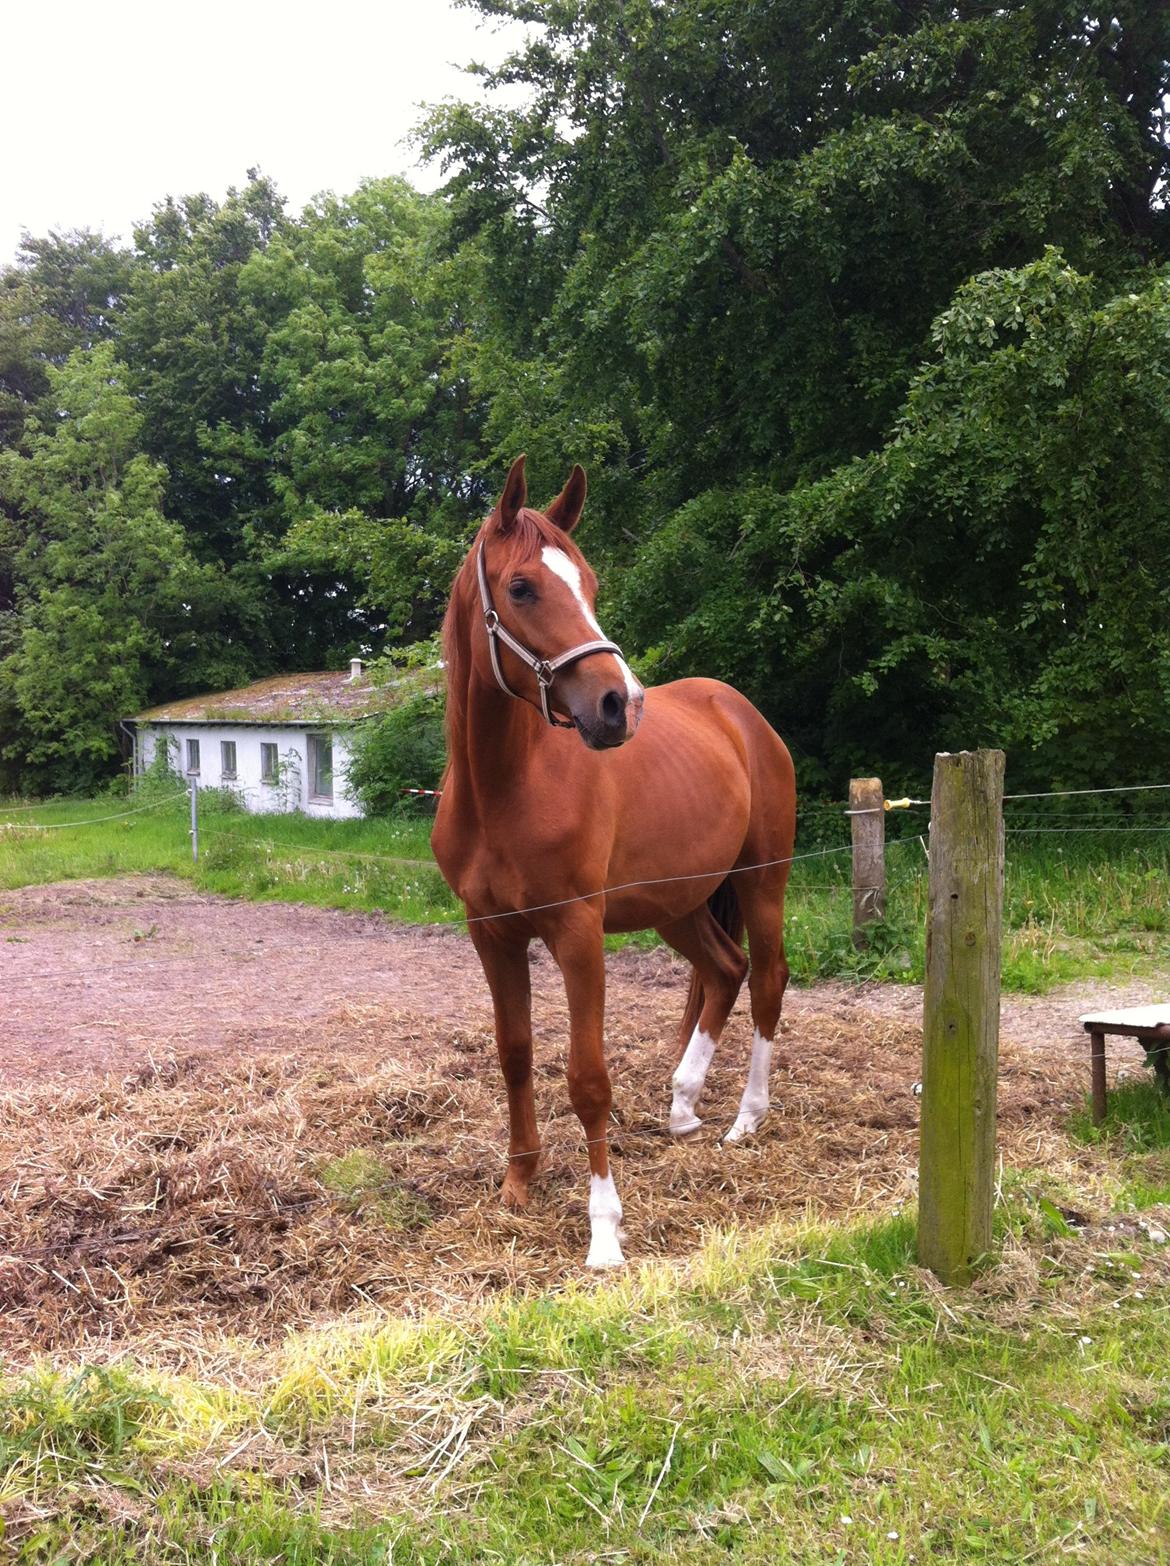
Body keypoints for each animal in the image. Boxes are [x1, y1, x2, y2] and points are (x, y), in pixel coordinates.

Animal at [435, 457, 801, 1265]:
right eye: (521, 587)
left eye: (592, 584)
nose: (619, 705)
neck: (505, 788)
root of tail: (744, 715)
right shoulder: (490, 933)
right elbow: (514, 1052)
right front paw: (519, 1182)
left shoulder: (577, 932)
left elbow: (588, 1078)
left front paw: (604, 1232)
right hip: (681, 903)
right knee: (724, 970)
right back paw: (683, 1105)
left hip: (762, 883)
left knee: (767, 979)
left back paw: (746, 1119)